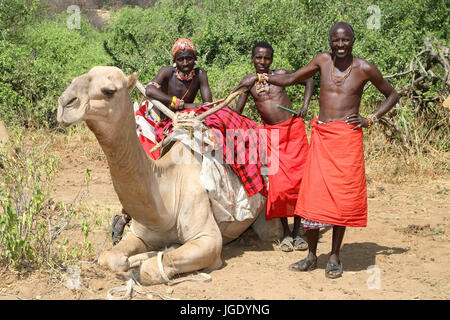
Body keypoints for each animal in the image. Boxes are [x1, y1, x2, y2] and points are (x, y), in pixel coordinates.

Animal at [58, 65, 280, 284]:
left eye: (109, 91)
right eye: (74, 79)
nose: (64, 103)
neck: (166, 200)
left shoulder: (209, 240)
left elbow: (150, 268)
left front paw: (158, 255)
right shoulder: (140, 234)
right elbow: (109, 258)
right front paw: (137, 257)